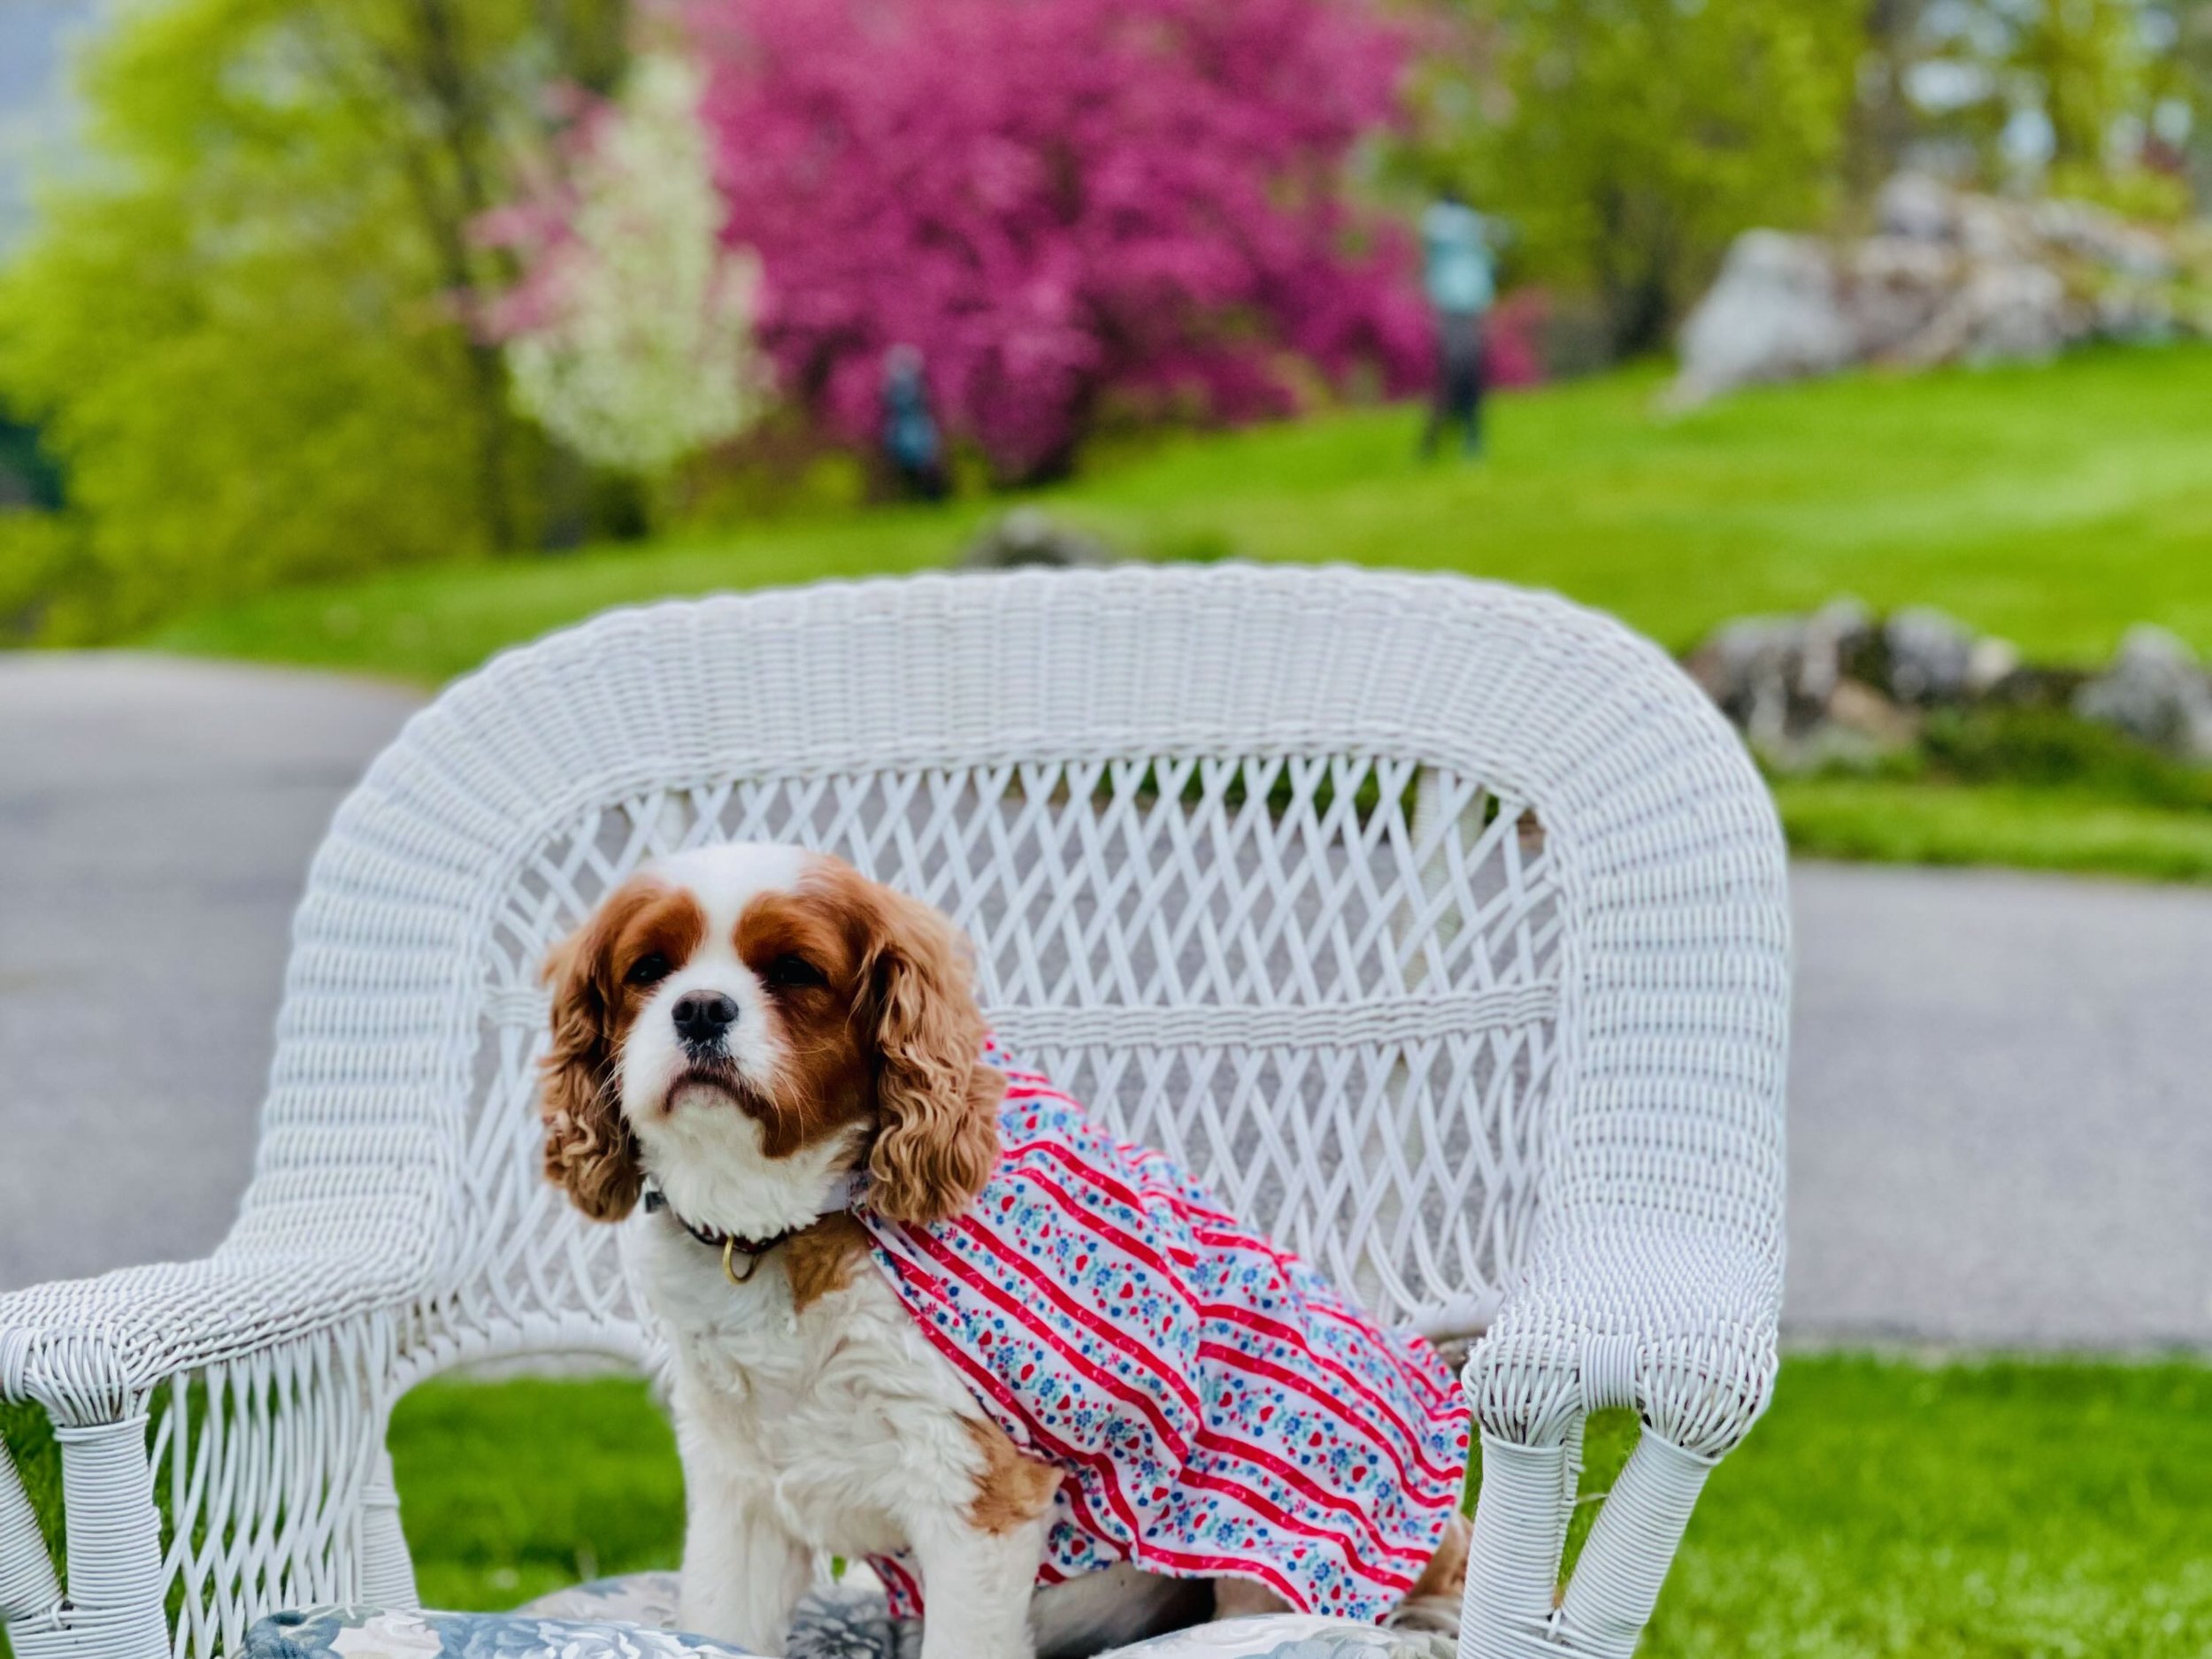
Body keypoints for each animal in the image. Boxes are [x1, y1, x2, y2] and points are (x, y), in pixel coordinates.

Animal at [537, 849, 1469, 1655]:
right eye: (649, 968)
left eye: (796, 970)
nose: (699, 1008)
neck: (787, 1226)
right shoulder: (740, 1486)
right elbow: (720, 1618)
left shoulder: (975, 1489)